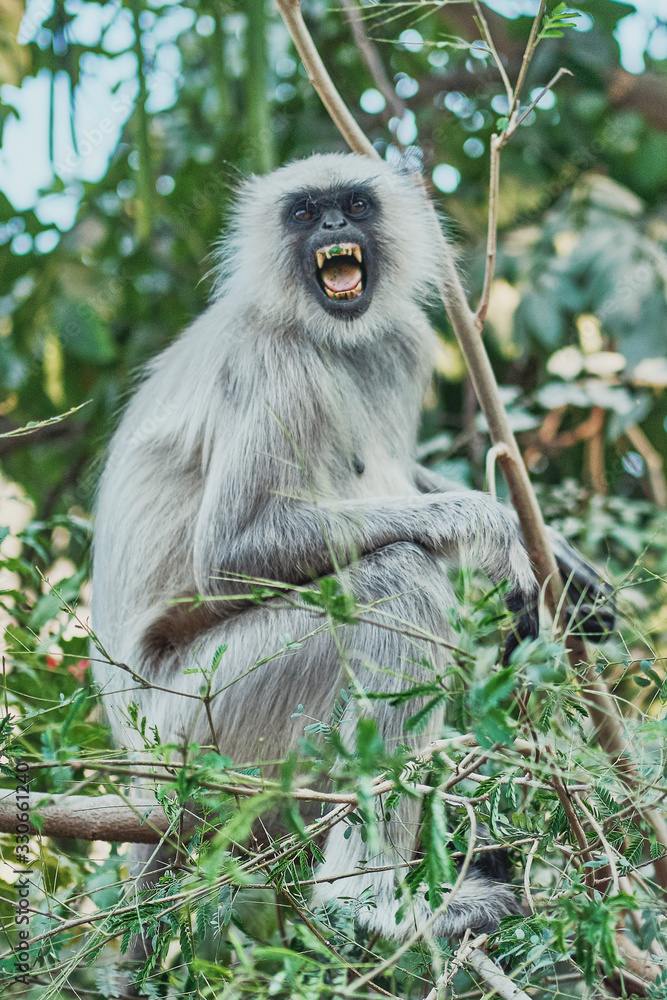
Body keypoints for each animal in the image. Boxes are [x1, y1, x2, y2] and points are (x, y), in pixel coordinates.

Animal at [91, 152, 614, 949]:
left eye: (356, 205)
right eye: (306, 212)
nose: (334, 225)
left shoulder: (399, 345)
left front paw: (556, 555)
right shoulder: (269, 359)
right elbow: (232, 550)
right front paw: (496, 528)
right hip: (202, 714)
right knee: (398, 580)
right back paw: (365, 902)